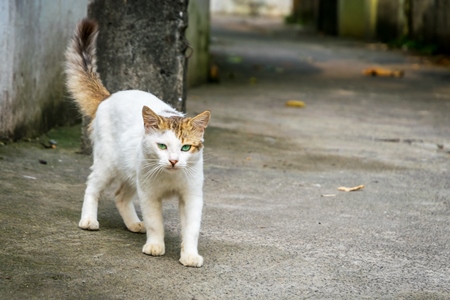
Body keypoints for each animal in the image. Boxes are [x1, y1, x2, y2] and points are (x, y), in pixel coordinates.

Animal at [65, 18, 211, 268]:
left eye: (185, 148)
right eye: (162, 146)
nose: (173, 161)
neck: (170, 177)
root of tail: (109, 97)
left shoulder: (192, 196)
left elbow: (191, 228)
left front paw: (190, 255)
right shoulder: (149, 194)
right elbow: (155, 222)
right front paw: (155, 245)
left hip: (132, 172)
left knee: (120, 196)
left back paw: (133, 224)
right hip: (108, 164)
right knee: (92, 186)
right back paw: (89, 220)